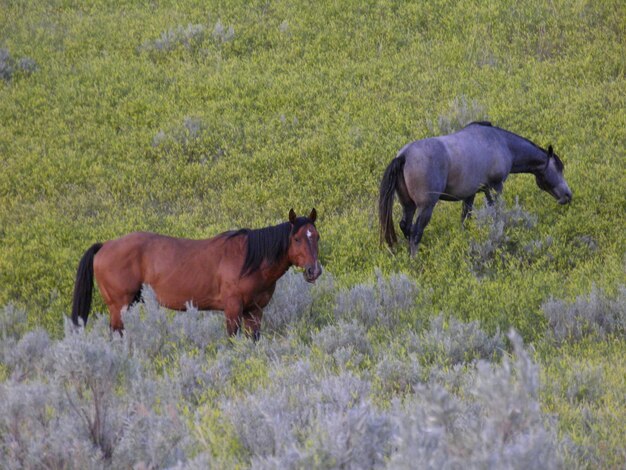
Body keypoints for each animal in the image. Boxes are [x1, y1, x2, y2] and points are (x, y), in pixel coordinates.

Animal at [70, 209, 320, 338]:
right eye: (297, 238)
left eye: (316, 236)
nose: (314, 270)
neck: (249, 260)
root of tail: (104, 246)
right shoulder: (232, 309)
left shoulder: (255, 311)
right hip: (118, 306)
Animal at [376, 122, 572, 258]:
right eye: (559, 167)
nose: (568, 195)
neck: (501, 142)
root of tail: (404, 156)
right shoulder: (495, 187)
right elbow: (496, 212)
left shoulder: (470, 194)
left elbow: (466, 219)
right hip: (426, 207)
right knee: (416, 232)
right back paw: (415, 259)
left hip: (408, 205)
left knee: (405, 226)